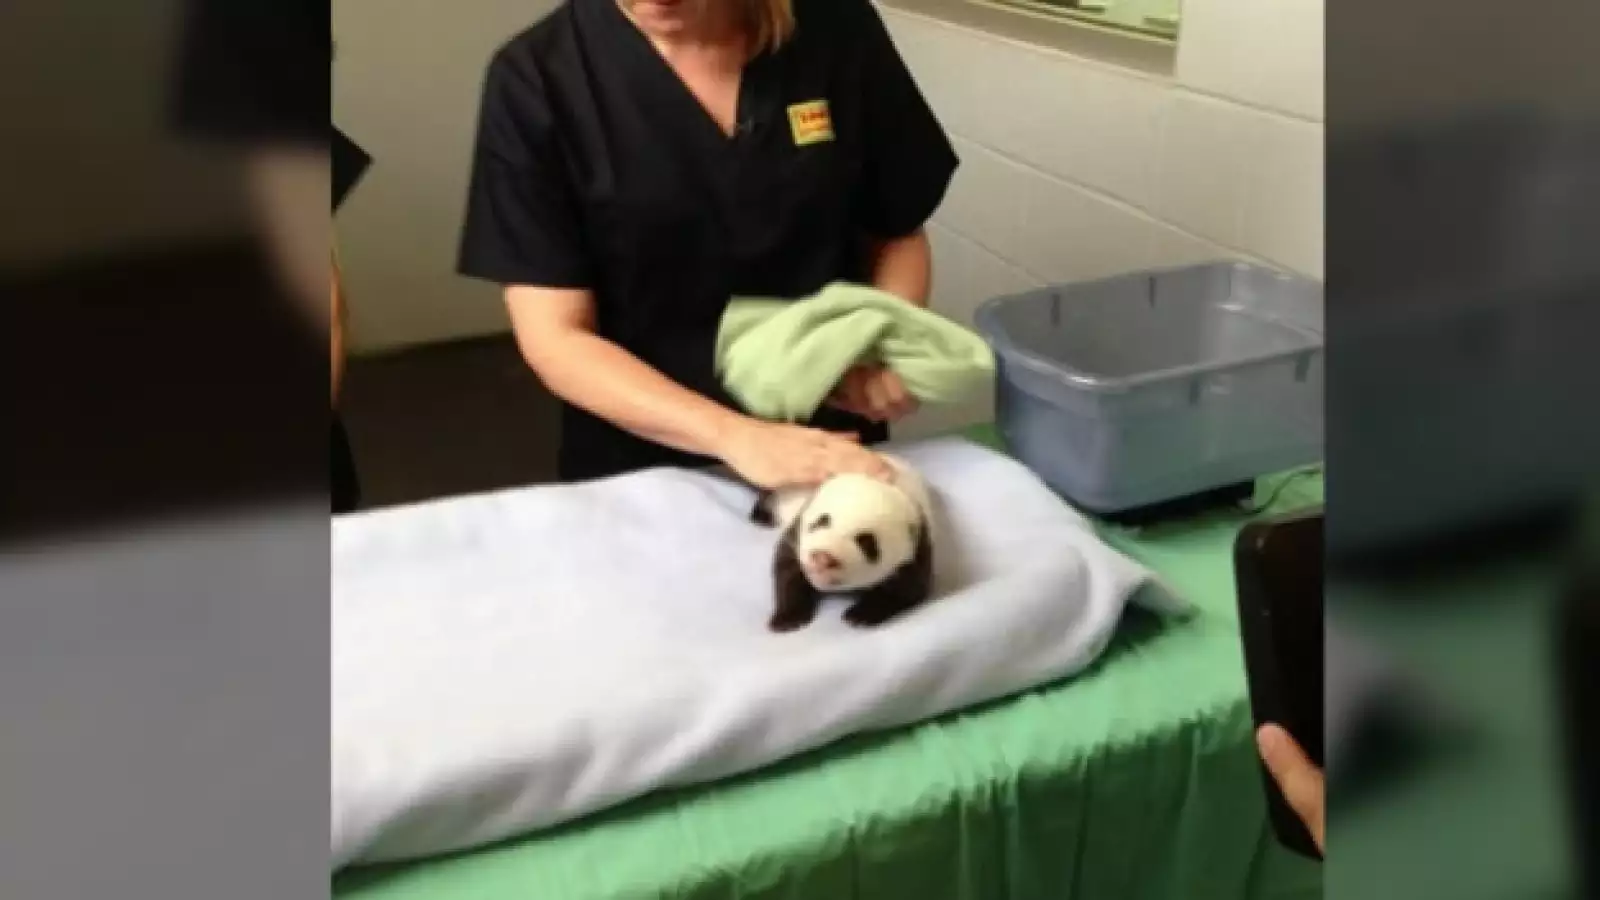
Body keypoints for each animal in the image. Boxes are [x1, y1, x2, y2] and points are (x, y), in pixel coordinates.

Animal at [750, 455, 936, 633]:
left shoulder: (917, 546)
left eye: (867, 542)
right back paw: (760, 517)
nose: (822, 559)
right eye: (821, 521)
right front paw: (787, 619)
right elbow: (787, 567)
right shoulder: (798, 527)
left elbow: (907, 591)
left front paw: (860, 615)